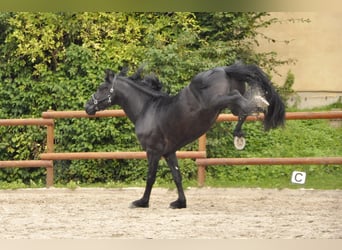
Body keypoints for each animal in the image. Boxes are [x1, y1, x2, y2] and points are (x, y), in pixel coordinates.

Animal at [84, 62, 284, 209]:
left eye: (102, 88)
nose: (87, 107)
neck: (147, 109)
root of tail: (223, 69)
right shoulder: (169, 152)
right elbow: (177, 176)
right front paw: (180, 203)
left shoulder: (153, 151)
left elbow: (150, 177)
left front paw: (142, 202)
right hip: (225, 106)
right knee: (241, 109)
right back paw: (242, 128)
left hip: (216, 101)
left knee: (239, 99)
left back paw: (258, 104)